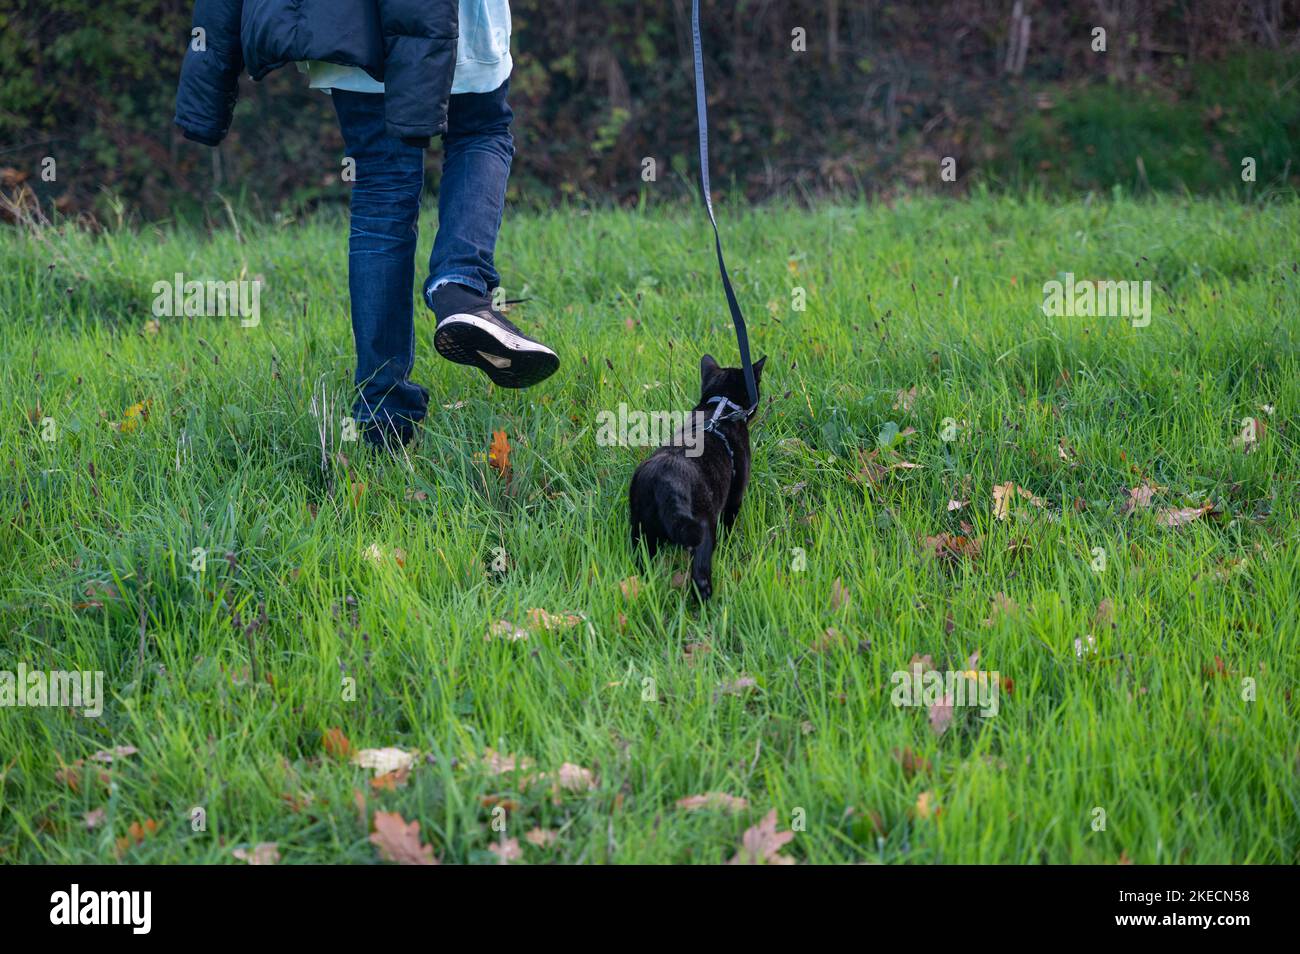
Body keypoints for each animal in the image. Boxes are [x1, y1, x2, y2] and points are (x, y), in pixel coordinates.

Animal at [626, 356, 759, 600]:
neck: (719, 408)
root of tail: (665, 482)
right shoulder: (734, 498)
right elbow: (729, 527)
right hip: (703, 532)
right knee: (701, 578)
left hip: (641, 532)